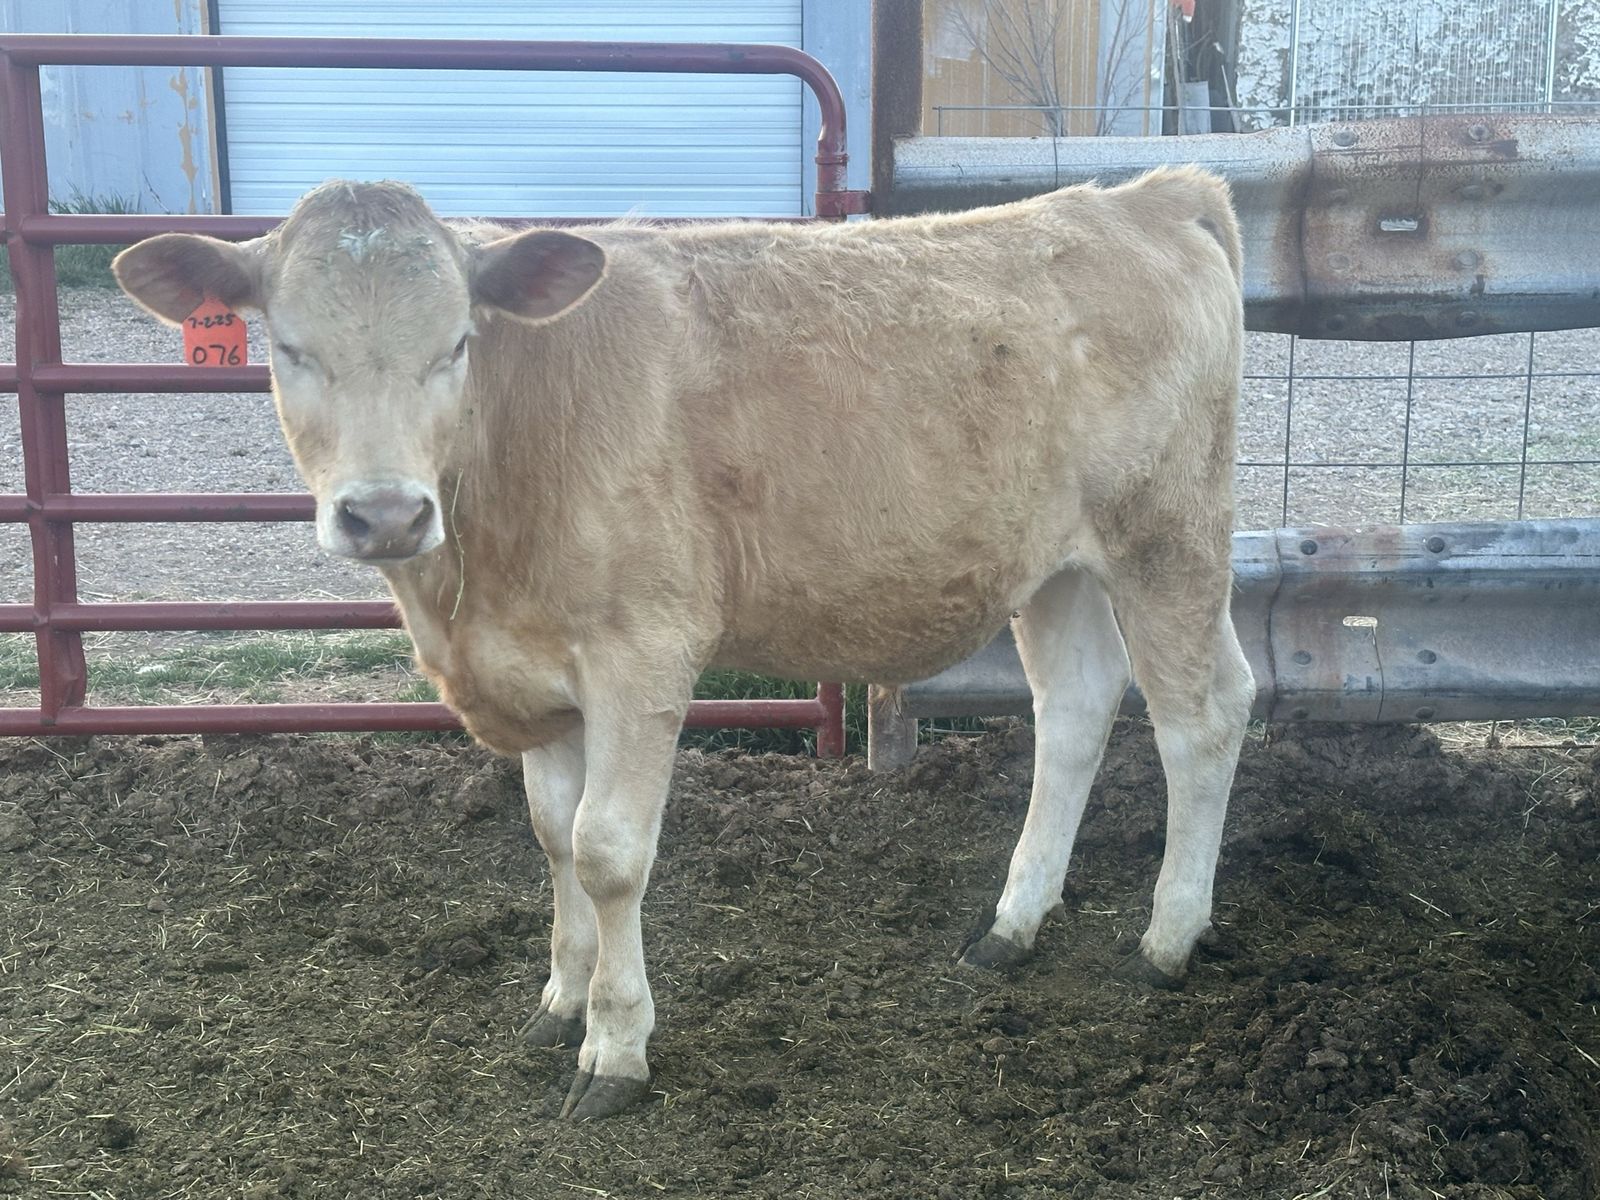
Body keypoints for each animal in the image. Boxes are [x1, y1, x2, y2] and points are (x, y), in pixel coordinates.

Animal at [113, 167, 1253, 1119]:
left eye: (457, 344)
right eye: (289, 347)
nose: (386, 514)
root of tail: (1147, 195)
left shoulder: (641, 653)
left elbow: (607, 850)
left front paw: (615, 1049)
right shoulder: (536, 675)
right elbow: (551, 833)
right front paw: (560, 999)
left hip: (1168, 537)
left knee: (1202, 715)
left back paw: (1165, 939)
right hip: (1055, 567)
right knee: (1076, 710)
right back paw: (1011, 927)